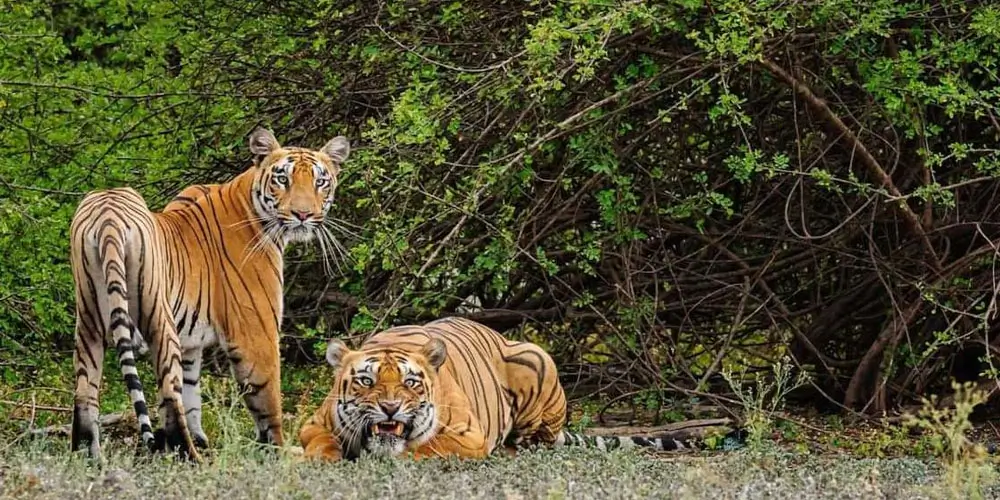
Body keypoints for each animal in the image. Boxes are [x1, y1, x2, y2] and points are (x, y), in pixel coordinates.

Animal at [69, 127, 350, 461]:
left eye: (320, 181)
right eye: (283, 178)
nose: (303, 214)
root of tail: (108, 214)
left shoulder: (191, 344)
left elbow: (193, 393)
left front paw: (202, 438)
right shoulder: (256, 332)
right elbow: (267, 399)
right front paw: (279, 451)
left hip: (88, 321)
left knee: (85, 393)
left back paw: (88, 455)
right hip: (158, 319)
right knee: (169, 395)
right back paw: (191, 457)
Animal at [298, 317, 741, 461]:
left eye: (410, 383)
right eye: (367, 381)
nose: (390, 408)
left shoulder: (467, 437)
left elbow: (422, 449)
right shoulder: (313, 424)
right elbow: (320, 443)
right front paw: (321, 459)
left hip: (535, 358)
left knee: (538, 439)